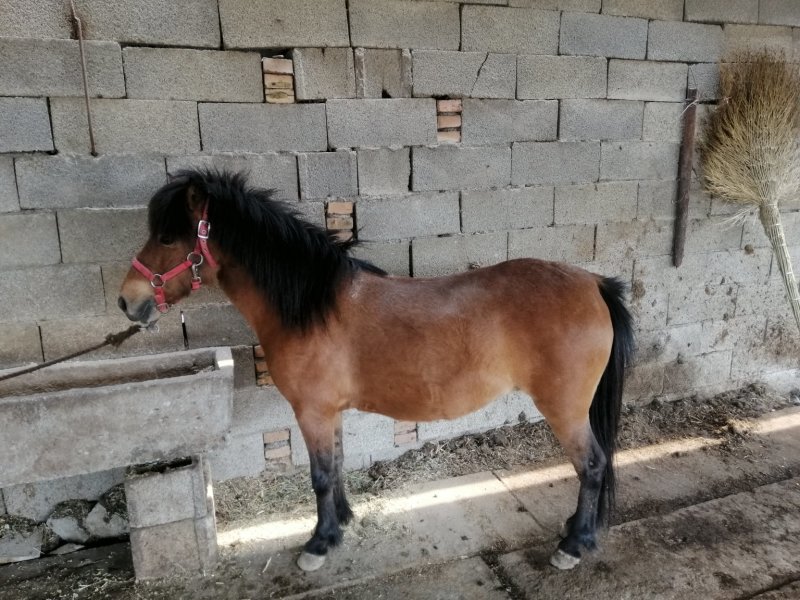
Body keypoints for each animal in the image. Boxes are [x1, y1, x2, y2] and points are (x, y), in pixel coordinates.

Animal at [118, 169, 635, 573]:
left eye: (167, 238)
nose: (127, 301)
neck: (311, 307)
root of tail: (593, 283)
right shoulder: (329, 413)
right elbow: (336, 465)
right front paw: (341, 524)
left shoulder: (312, 411)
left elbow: (320, 475)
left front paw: (318, 544)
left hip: (565, 409)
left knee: (591, 465)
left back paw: (573, 546)